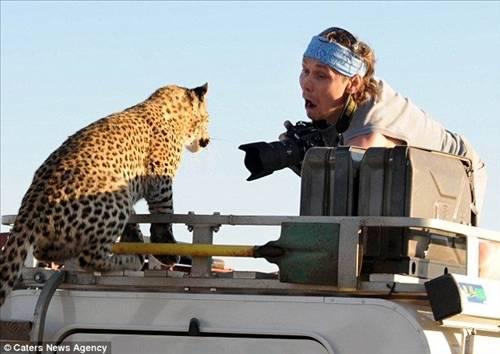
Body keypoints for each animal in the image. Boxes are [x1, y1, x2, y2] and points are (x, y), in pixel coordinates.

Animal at [0, 82, 210, 304]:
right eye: (207, 118)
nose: (207, 141)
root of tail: (31, 208)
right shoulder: (160, 181)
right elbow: (165, 213)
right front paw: (165, 247)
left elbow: (136, 219)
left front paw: (136, 236)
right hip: (116, 199)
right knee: (88, 258)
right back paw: (132, 260)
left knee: (45, 252)